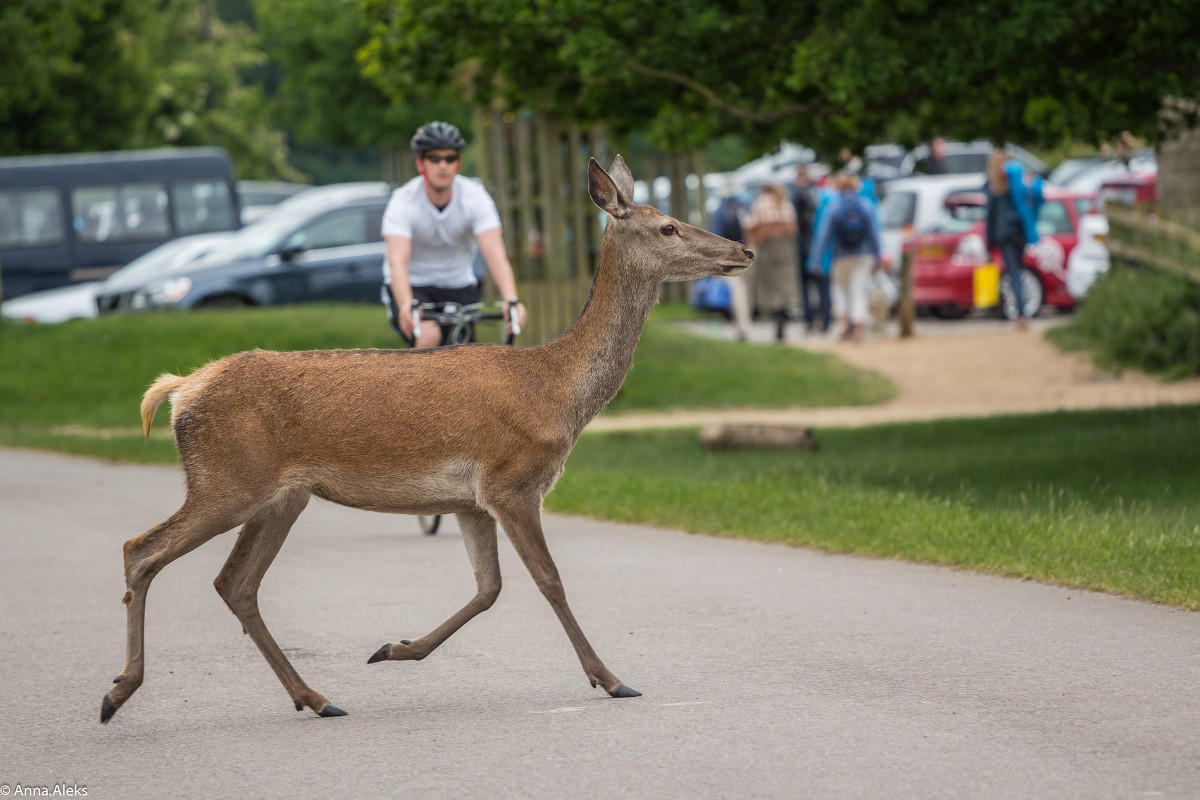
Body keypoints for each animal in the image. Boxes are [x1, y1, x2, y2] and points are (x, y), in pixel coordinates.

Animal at [100, 155, 748, 724]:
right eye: (667, 225)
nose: (742, 249)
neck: (556, 390)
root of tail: (181, 390)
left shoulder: (470, 500)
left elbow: (489, 588)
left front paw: (394, 648)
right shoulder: (512, 481)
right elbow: (549, 580)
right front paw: (611, 679)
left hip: (281, 496)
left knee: (235, 583)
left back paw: (316, 698)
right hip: (227, 478)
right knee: (141, 550)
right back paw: (118, 691)